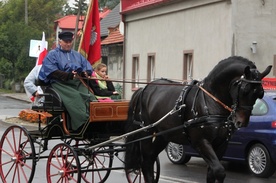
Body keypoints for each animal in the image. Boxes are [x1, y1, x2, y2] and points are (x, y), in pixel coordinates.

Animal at [124, 56, 272, 182]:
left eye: (260, 94)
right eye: (244, 91)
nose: (241, 122)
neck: (211, 100)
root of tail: (144, 88)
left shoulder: (222, 143)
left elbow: (212, 173)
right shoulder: (201, 142)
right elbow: (219, 171)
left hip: (163, 136)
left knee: (150, 160)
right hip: (146, 133)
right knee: (146, 162)